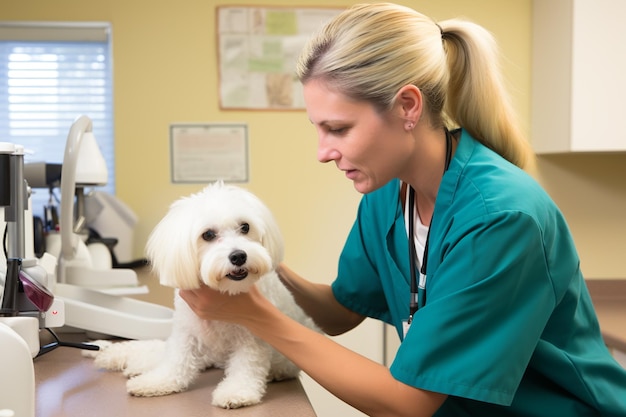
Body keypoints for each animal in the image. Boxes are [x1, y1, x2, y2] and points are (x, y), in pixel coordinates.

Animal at [83, 181, 316, 406]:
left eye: (245, 227)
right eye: (208, 235)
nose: (239, 256)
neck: (225, 291)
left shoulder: (252, 337)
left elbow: (246, 366)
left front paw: (236, 392)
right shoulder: (186, 330)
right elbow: (176, 361)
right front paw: (158, 381)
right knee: (159, 350)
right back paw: (118, 357)